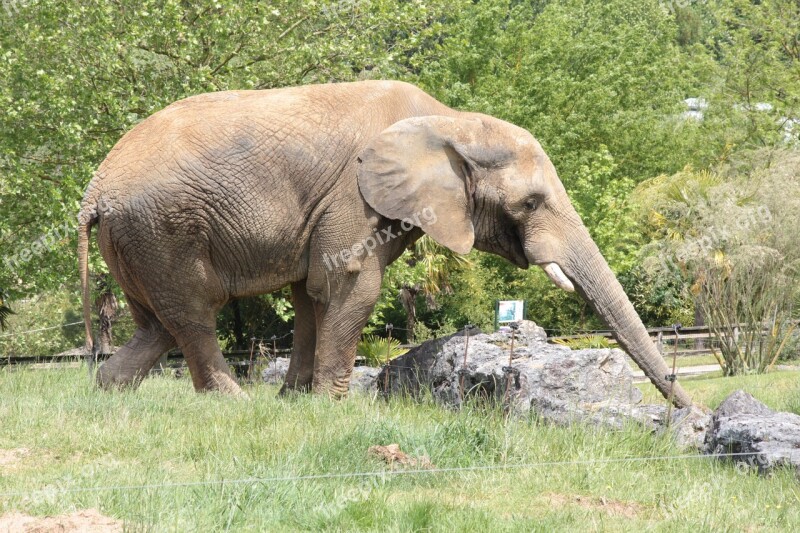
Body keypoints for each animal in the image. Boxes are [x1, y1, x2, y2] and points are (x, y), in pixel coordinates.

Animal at [76, 78, 692, 408]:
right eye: (532, 203)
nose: (689, 416)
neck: (450, 121)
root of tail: (94, 191)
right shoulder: (354, 195)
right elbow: (349, 284)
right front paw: (331, 408)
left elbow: (309, 294)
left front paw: (296, 403)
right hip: (163, 229)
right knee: (195, 312)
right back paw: (234, 403)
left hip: (134, 238)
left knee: (159, 323)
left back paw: (110, 393)